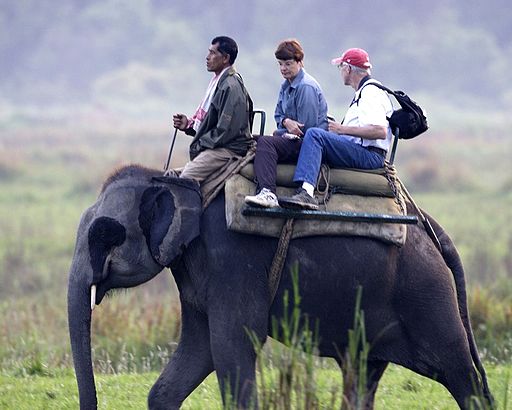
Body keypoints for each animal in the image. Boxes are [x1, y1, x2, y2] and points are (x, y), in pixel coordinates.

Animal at [69, 164, 496, 410]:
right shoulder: (192, 267)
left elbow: (233, 343)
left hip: (424, 292)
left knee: (461, 375)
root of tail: (428, 223)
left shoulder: (232, 258)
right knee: (362, 374)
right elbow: (200, 348)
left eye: (103, 235)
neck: (178, 180)